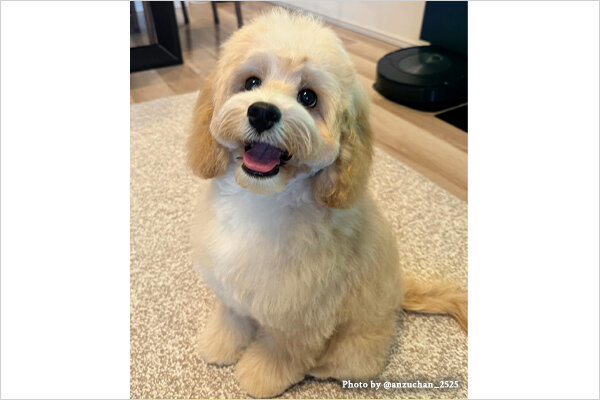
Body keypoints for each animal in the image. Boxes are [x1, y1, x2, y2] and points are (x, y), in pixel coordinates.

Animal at [187, 9, 467, 398]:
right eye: (251, 82)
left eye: (308, 97)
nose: (262, 112)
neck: (262, 199)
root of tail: (399, 294)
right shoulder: (230, 282)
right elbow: (233, 316)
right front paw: (220, 344)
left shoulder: (301, 314)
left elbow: (281, 350)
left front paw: (259, 376)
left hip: (356, 348)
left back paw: (319, 370)